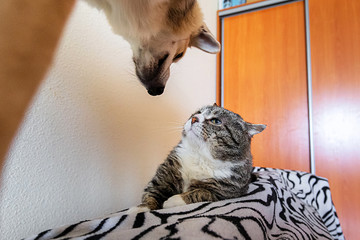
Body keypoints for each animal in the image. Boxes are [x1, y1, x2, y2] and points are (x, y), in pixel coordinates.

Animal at [129, 104, 264, 213]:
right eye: (197, 113)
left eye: (216, 121)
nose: (194, 118)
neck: (199, 156)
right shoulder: (166, 174)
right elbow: (153, 191)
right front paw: (141, 208)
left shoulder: (224, 192)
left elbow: (199, 192)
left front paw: (173, 200)